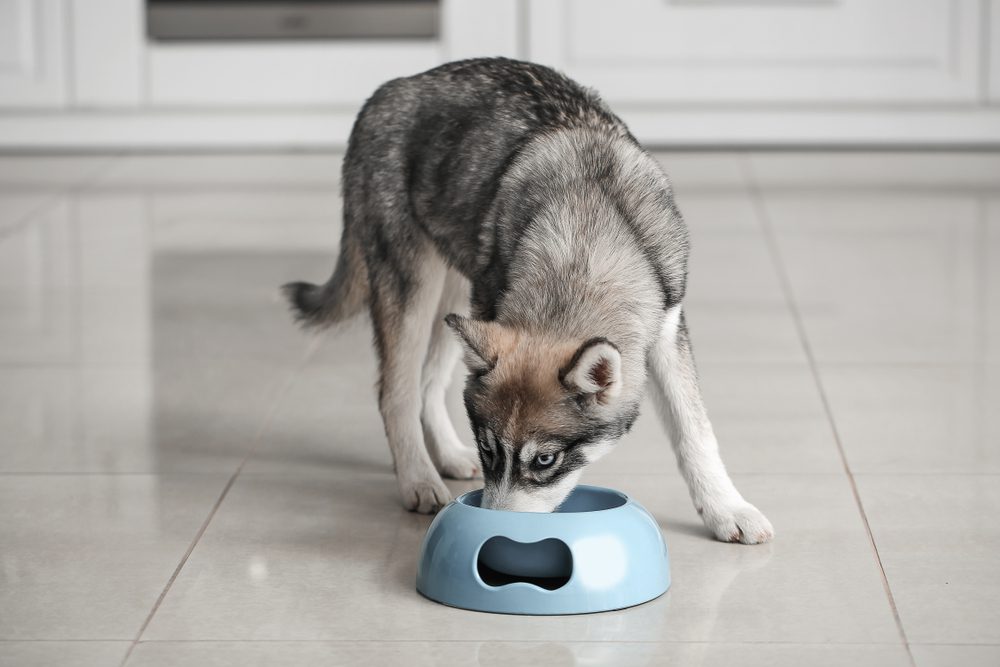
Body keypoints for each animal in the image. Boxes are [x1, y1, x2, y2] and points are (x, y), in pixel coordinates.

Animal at [282, 58, 772, 544]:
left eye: (544, 461)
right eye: (489, 450)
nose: (497, 532)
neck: (584, 244)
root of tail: (388, 89)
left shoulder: (667, 329)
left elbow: (695, 430)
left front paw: (727, 509)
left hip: (455, 292)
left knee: (427, 384)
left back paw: (446, 455)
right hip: (416, 286)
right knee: (395, 391)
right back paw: (418, 478)